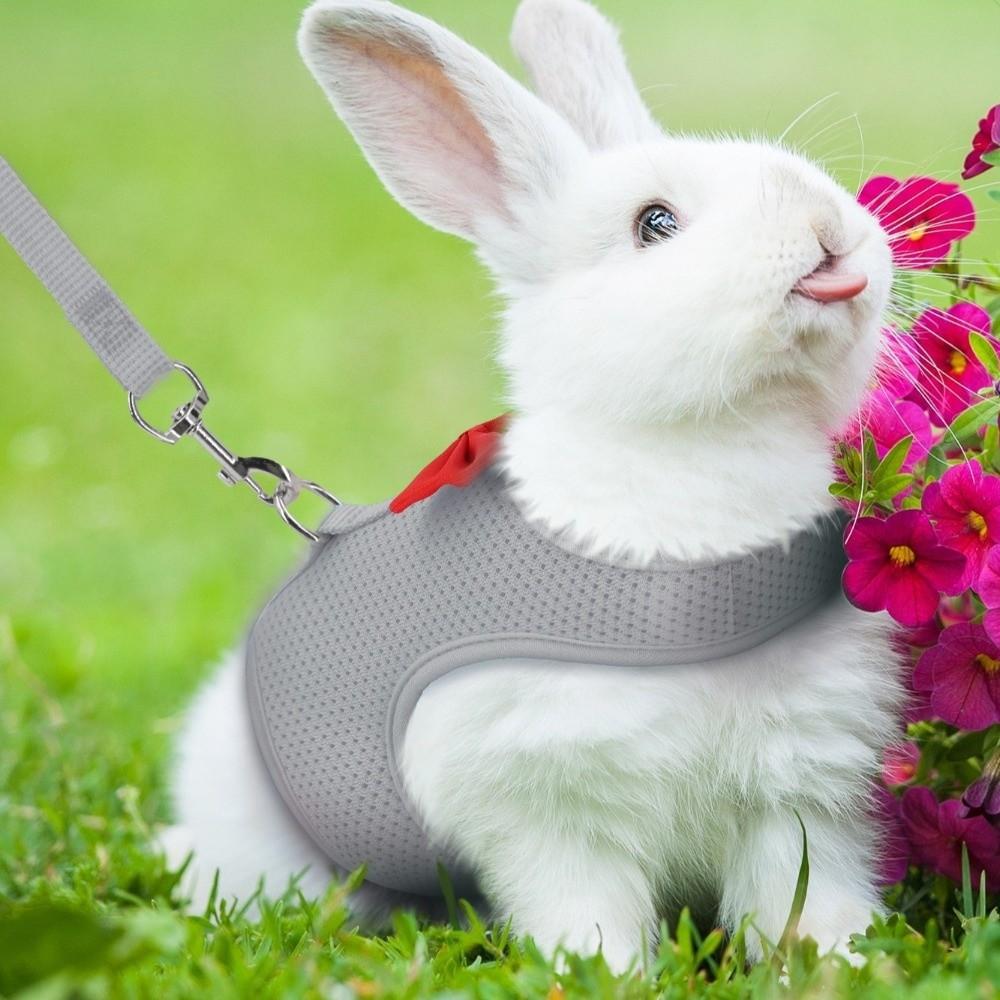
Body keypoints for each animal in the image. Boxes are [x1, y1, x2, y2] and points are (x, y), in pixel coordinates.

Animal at [165, 0, 904, 972]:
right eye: (655, 224)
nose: (831, 227)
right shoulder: (546, 802)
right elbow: (582, 904)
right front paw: (608, 974)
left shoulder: (800, 788)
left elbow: (803, 897)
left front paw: (844, 964)